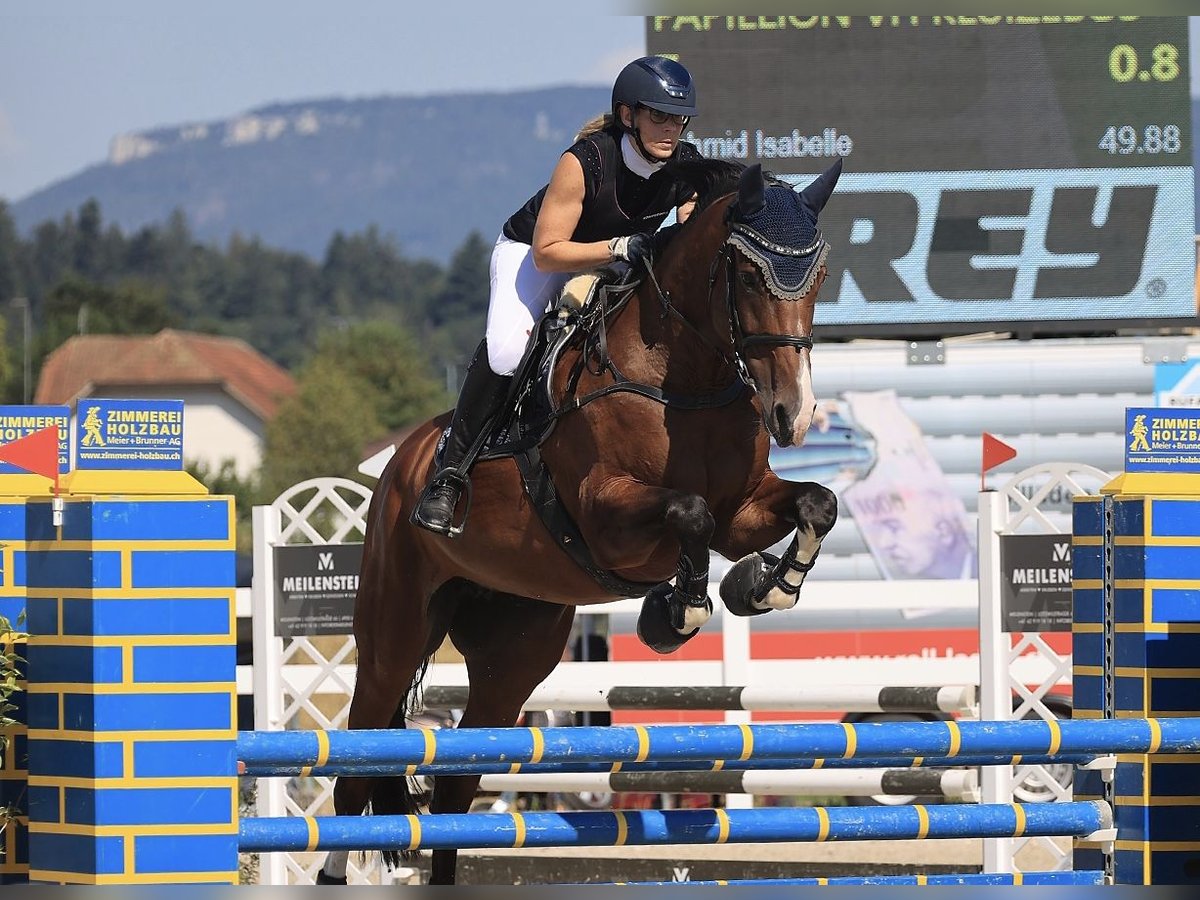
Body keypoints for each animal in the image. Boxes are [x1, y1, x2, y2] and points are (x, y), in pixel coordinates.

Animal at [319, 158, 844, 883]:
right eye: (743, 276)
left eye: (817, 279)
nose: (793, 414)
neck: (686, 377)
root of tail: (403, 463)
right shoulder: (608, 517)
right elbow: (689, 513)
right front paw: (676, 614)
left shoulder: (743, 510)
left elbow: (815, 503)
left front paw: (765, 587)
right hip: (392, 633)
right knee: (354, 774)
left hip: (514, 655)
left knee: (455, 789)